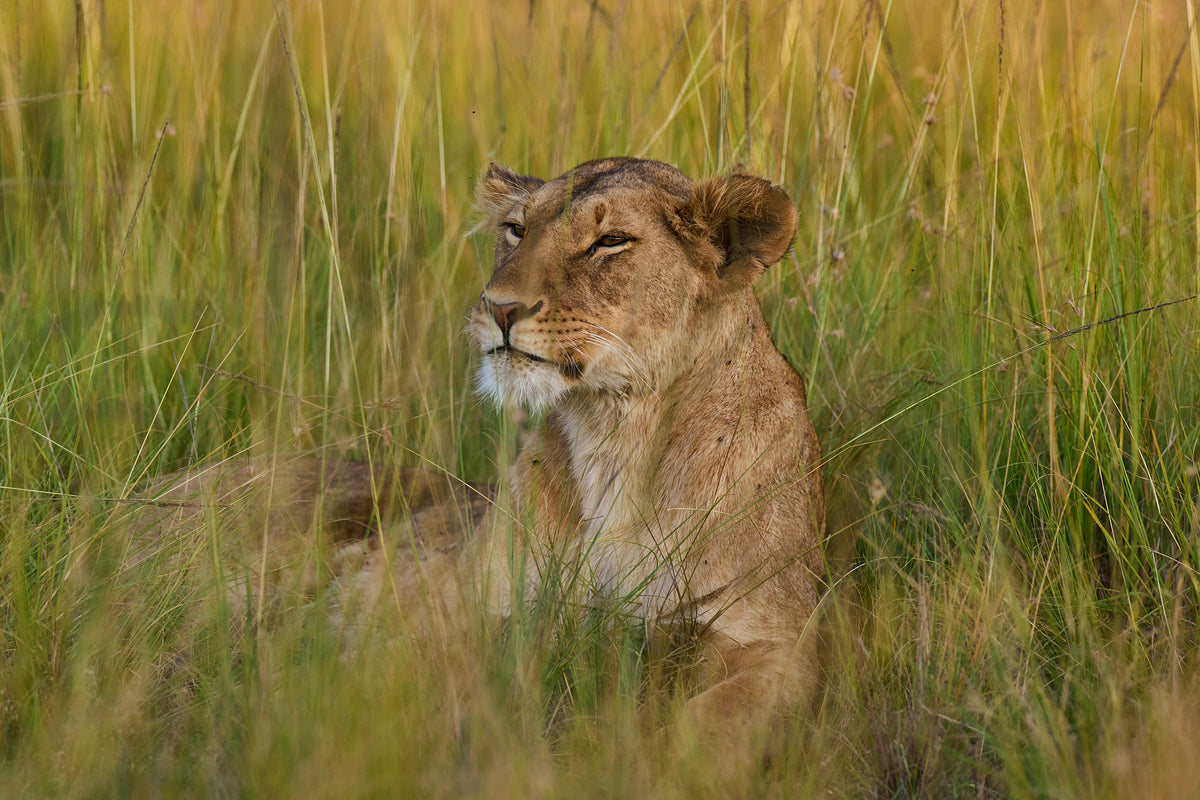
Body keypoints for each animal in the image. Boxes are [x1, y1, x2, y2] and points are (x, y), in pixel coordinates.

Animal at [137, 157, 824, 749]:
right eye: (516, 229)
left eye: (609, 242)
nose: (499, 308)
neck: (614, 435)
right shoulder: (463, 605)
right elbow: (428, 664)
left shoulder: (778, 643)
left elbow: (714, 723)